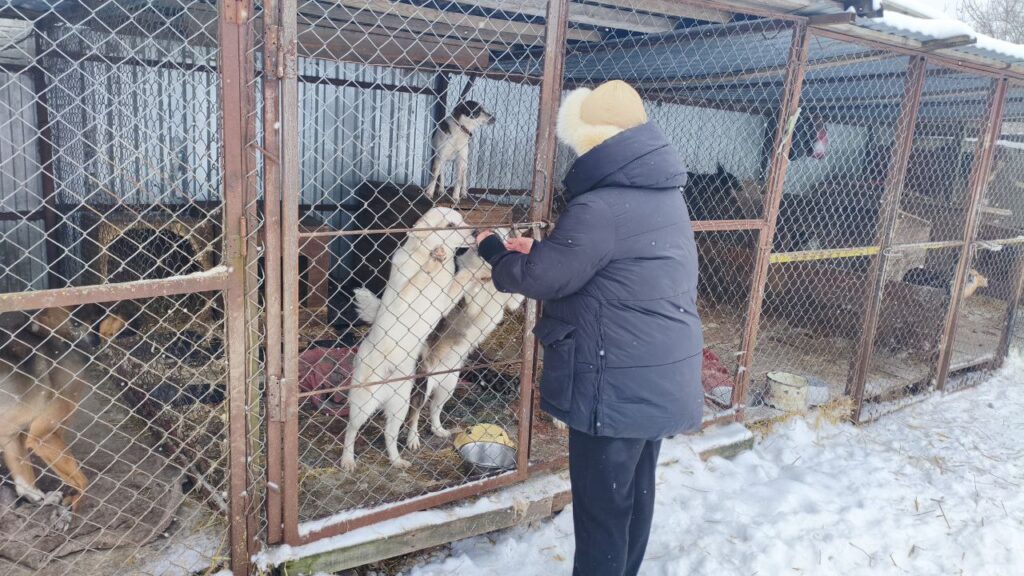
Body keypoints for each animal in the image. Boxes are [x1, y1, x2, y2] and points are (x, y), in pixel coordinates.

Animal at [0, 307, 118, 519]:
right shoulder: (43, 435)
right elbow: (83, 481)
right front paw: (75, 505)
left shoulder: (12, 433)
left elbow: (24, 480)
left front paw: (40, 499)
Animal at [342, 208, 478, 471]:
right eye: (450, 224)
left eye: (464, 219)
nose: (477, 232)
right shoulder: (406, 293)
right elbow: (423, 274)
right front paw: (435, 259)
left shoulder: (445, 300)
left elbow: (461, 277)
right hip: (363, 405)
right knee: (350, 432)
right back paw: (347, 460)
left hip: (400, 406)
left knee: (390, 435)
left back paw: (397, 461)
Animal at [354, 238, 525, 450]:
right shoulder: (472, 300)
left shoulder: (512, 300)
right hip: (423, 387)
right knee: (414, 415)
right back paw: (413, 440)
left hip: (448, 387)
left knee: (434, 410)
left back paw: (439, 430)